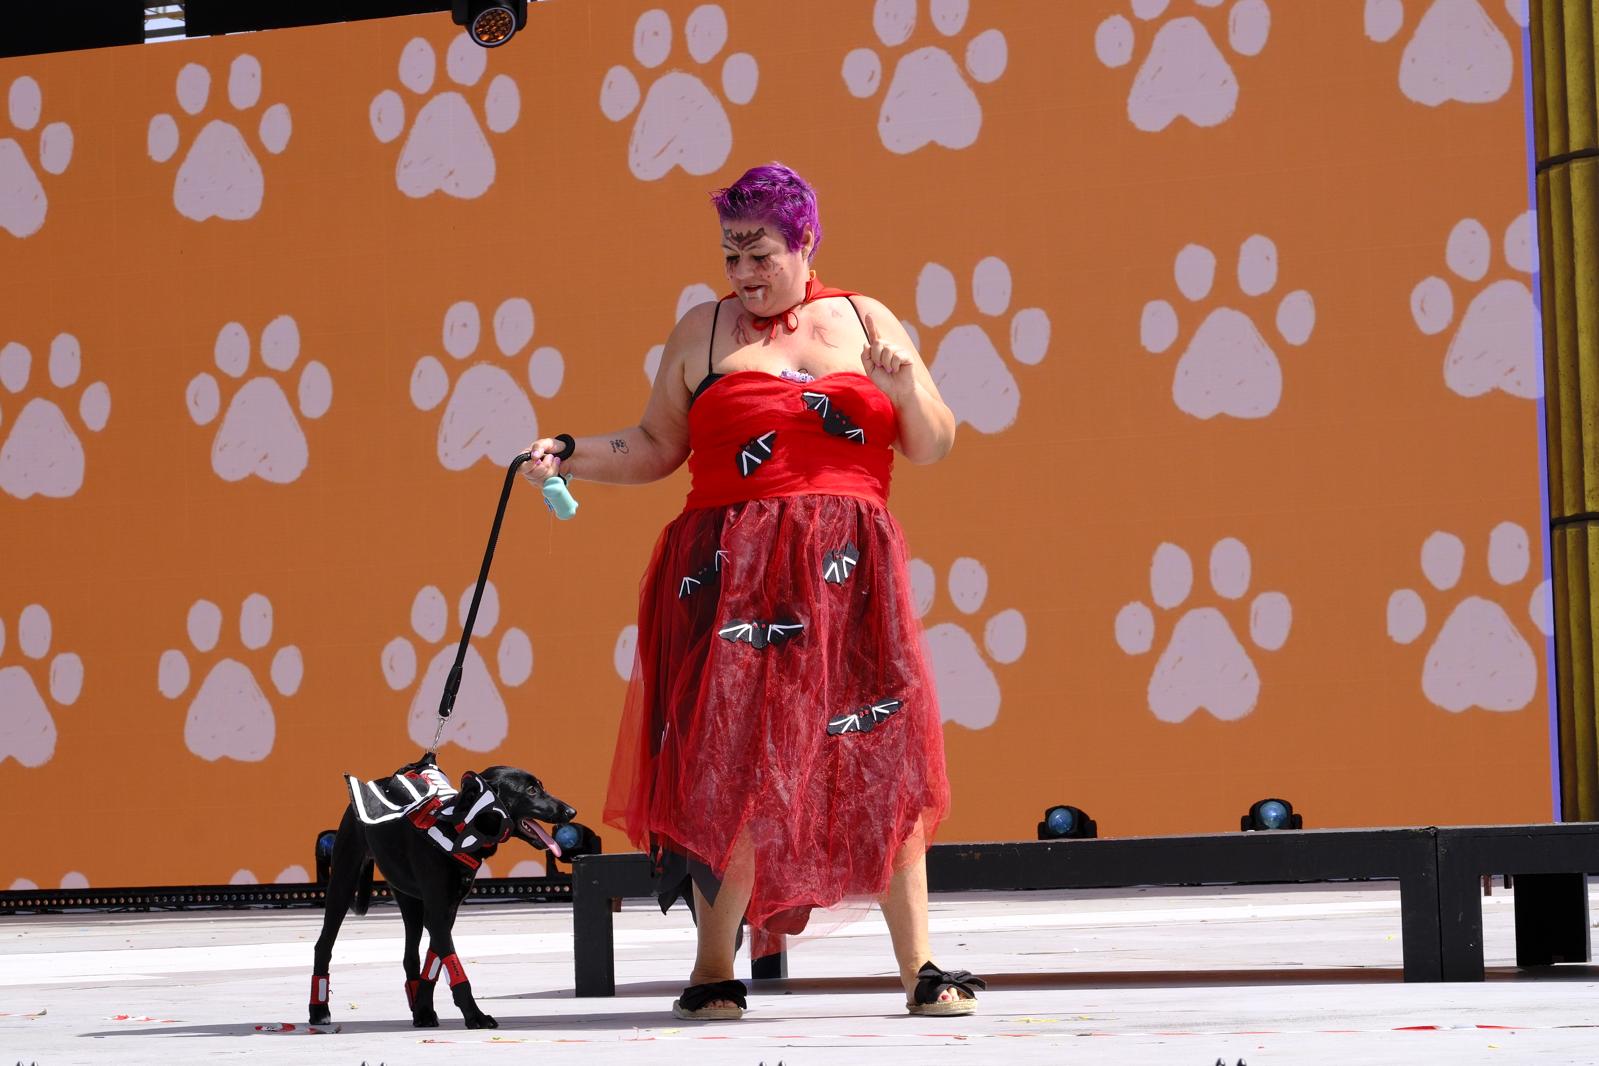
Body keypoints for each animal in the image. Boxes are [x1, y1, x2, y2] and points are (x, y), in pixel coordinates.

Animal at [305, 754, 575, 1029]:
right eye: (531, 791)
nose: (571, 811)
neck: (458, 830)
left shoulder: (447, 910)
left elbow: (433, 962)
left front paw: (424, 1010)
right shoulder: (437, 912)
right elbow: (452, 965)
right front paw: (475, 1016)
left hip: (409, 900)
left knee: (410, 956)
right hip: (343, 882)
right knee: (323, 946)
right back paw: (318, 1010)